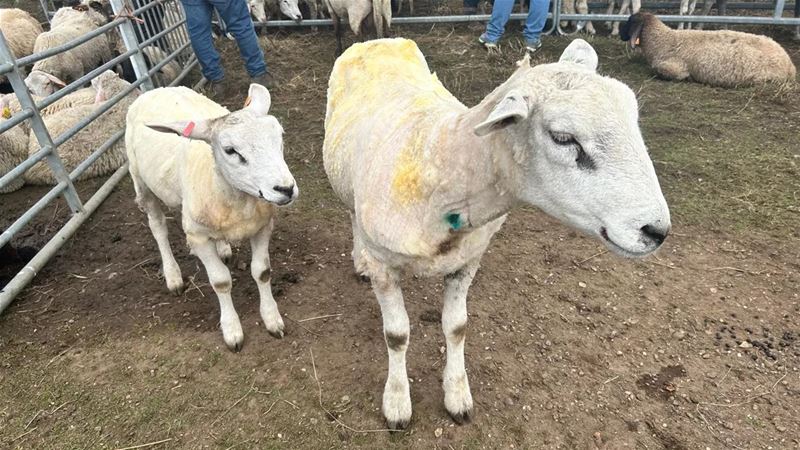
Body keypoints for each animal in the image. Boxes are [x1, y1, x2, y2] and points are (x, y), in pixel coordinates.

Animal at [125, 84, 300, 352]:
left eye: (279, 136)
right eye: (230, 150)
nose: (286, 189)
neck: (236, 199)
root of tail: (156, 89)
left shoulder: (263, 226)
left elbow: (262, 271)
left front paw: (272, 319)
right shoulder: (198, 237)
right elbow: (220, 282)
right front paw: (232, 330)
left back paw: (223, 248)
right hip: (141, 182)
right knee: (158, 227)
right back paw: (173, 275)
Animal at [322, 38, 672, 428]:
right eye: (563, 138)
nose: (656, 230)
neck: (440, 167)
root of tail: (379, 40)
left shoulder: (468, 260)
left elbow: (457, 326)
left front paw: (457, 394)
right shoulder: (385, 266)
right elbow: (397, 335)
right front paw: (397, 402)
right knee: (352, 215)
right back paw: (359, 261)